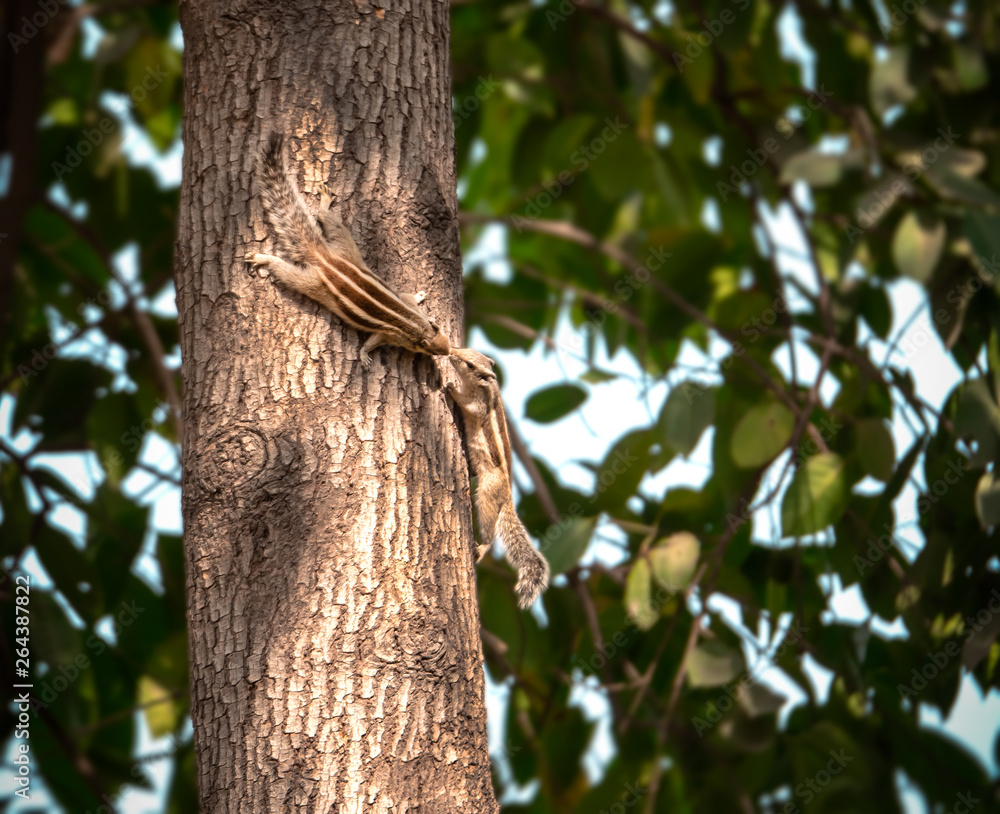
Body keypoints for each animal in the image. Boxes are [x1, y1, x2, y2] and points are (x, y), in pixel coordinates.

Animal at [245, 133, 450, 367]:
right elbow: (372, 341)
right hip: (312, 283)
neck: (415, 324)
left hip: (345, 246)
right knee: (285, 270)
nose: (449, 351)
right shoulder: (389, 335)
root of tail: (325, 259)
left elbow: (408, 297)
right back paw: (264, 258)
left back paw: (325, 204)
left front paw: (419, 294)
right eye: (433, 350)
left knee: (328, 220)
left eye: (442, 333)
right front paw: (364, 356)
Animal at [446, 348, 550, 609]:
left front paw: (451, 388)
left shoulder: (478, 405)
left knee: (490, 534)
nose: (452, 352)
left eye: (470, 364)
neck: (488, 386)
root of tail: (508, 497)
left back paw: (482, 547)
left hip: (487, 494)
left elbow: (468, 405)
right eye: (469, 352)